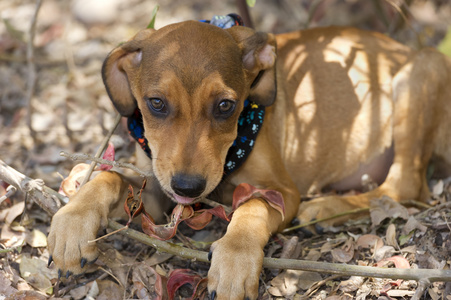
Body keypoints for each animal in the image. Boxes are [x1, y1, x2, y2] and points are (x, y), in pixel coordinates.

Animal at [47, 19, 451, 300]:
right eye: (156, 103)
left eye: (226, 106)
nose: (189, 188)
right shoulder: (157, 194)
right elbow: (110, 177)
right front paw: (73, 221)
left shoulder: (282, 190)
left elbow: (253, 204)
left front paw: (235, 259)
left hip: (422, 72)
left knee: (404, 185)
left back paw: (327, 207)